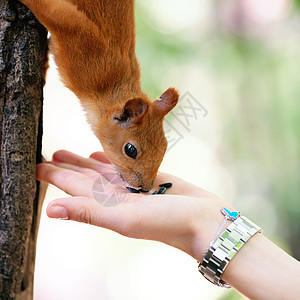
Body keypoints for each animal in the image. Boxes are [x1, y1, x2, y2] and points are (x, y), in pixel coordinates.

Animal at [19, 0, 179, 191]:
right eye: (130, 150)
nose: (146, 187)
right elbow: (54, 12)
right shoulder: (80, 38)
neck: (111, 84)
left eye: (165, 146)